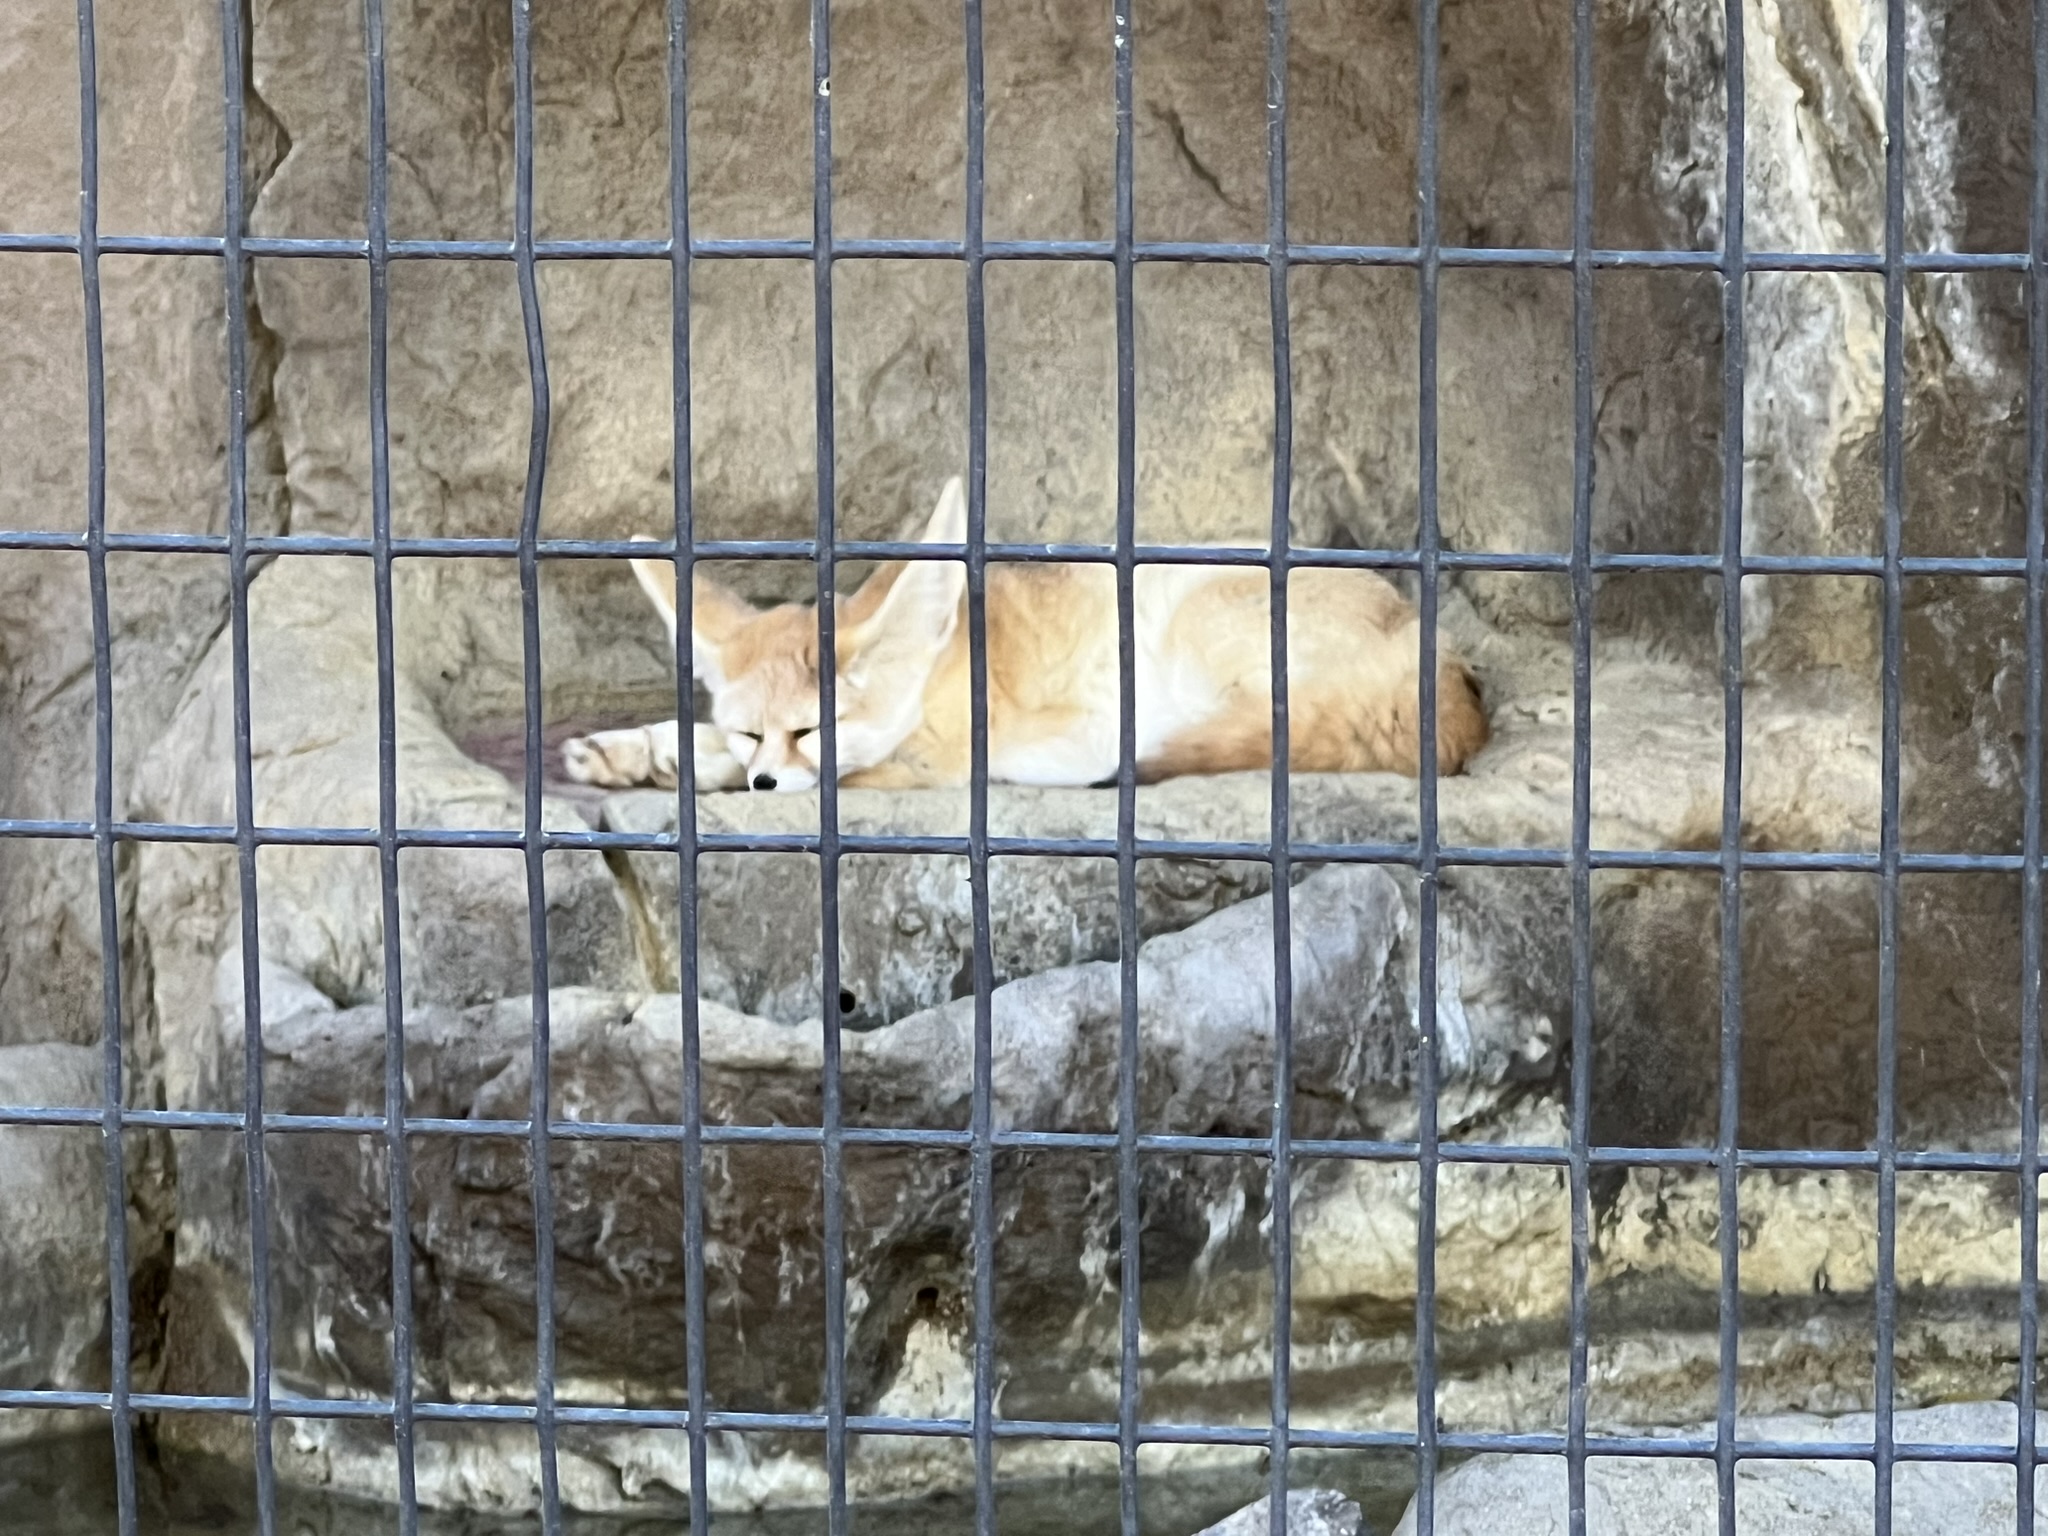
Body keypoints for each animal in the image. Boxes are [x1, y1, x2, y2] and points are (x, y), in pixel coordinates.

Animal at [560, 477, 1488, 795]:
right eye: (752, 730)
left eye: (810, 728)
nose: (758, 781)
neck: (943, 666)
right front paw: (649, 750)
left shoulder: (1070, 734)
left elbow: (874, 769)